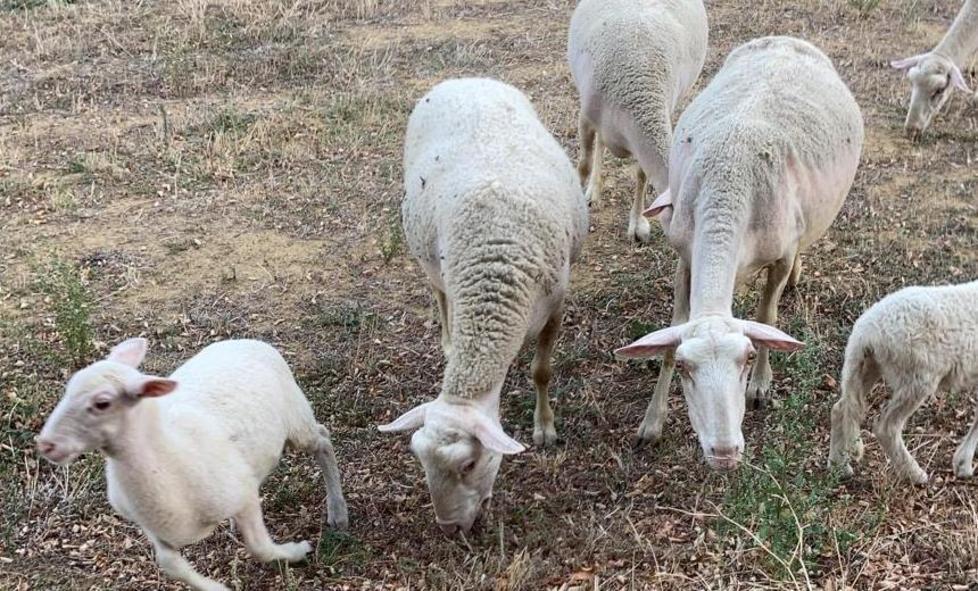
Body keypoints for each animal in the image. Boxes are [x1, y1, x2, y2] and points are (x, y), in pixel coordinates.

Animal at [36, 338, 348, 591]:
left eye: (102, 403)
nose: (46, 444)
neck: (165, 457)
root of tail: (245, 340)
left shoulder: (242, 495)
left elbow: (260, 548)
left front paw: (298, 551)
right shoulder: (152, 524)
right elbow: (170, 564)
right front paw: (217, 588)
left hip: (297, 419)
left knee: (323, 440)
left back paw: (338, 511)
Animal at [379, 78, 588, 534]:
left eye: (470, 464)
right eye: (419, 460)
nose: (449, 528)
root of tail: (464, 79)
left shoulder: (556, 305)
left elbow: (541, 371)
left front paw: (545, 429)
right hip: (430, 262)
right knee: (438, 298)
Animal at [616, 36, 864, 471]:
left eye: (747, 358)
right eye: (686, 367)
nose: (724, 452)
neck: (728, 185)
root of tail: (788, 39)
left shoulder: (780, 255)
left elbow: (767, 316)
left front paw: (761, 386)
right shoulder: (686, 255)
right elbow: (674, 329)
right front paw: (652, 422)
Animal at [828, 280, 978, 484]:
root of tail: (865, 333)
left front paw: (962, 464)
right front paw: (964, 464)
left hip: (867, 367)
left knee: (840, 409)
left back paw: (839, 467)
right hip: (917, 376)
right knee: (887, 427)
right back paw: (915, 474)